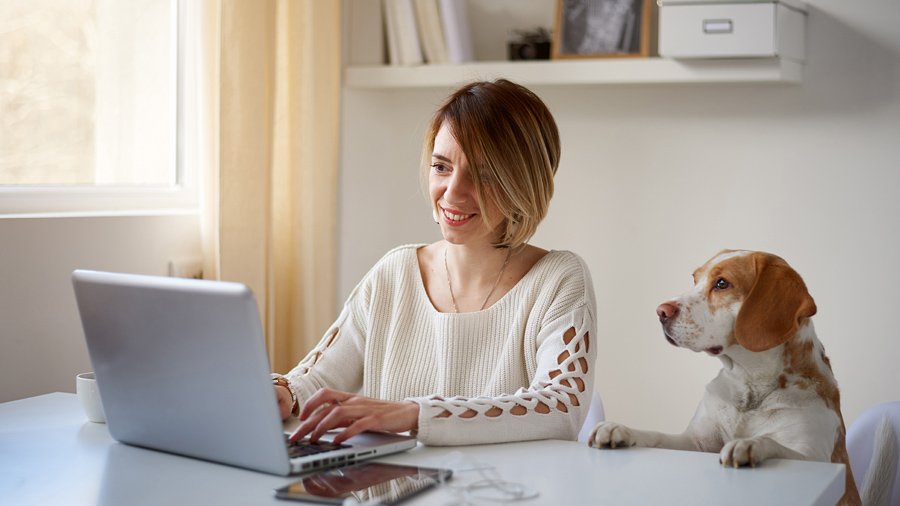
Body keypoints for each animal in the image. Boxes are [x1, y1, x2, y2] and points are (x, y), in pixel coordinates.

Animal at [592, 250, 892, 506]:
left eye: (722, 284)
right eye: (695, 280)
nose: (660, 311)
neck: (750, 388)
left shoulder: (814, 457)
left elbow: (774, 444)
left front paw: (751, 444)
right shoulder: (696, 442)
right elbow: (656, 436)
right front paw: (621, 429)